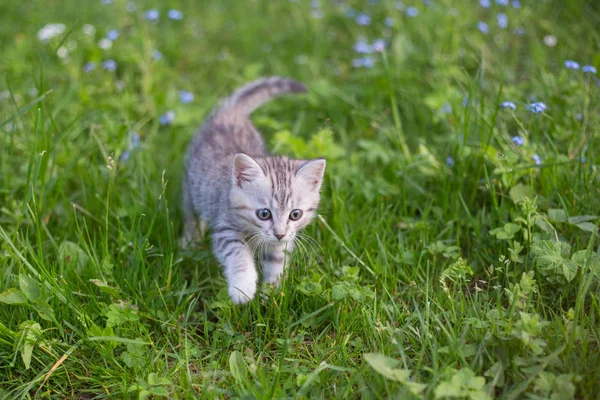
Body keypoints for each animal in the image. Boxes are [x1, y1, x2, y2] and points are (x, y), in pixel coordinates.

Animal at [182, 77, 326, 304]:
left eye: (295, 214)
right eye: (264, 213)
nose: (279, 234)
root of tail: (230, 112)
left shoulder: (282, 243)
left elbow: (277, 262)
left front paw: (272, 294)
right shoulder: (226, 228)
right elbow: (238, 253)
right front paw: (243, 287)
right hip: (191, 183)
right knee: (191, 213)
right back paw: (190, 239)